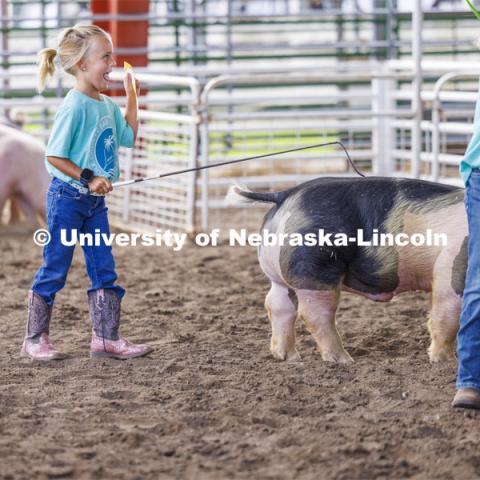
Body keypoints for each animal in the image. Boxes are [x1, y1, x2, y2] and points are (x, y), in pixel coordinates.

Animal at [227, 176, 466, 364]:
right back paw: (343, 360)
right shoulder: (451, 268)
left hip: (281, 275)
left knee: (277, 305)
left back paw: (288, 357)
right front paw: (444, 361)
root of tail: (286, 194)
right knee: (315, 314)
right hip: (314, 270)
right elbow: (447, 316)